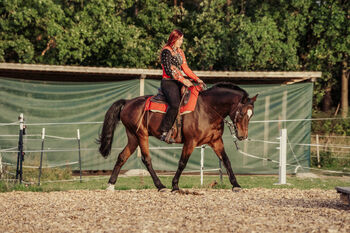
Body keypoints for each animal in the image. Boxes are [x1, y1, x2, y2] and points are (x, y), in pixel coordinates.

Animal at [98, 82, 258, 191]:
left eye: (251, 115)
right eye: (242, 113)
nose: (242, 136)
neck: (207, 109)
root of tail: (128, 102)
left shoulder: (216, 141)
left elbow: (226, 161)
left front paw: (236, 184)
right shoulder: (190, 142)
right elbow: (182, 163)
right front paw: (175, 186)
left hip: (133, 137)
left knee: (122, 156)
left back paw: (111, 184)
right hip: (141, 135)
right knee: (146, 159)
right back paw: (161, 186)